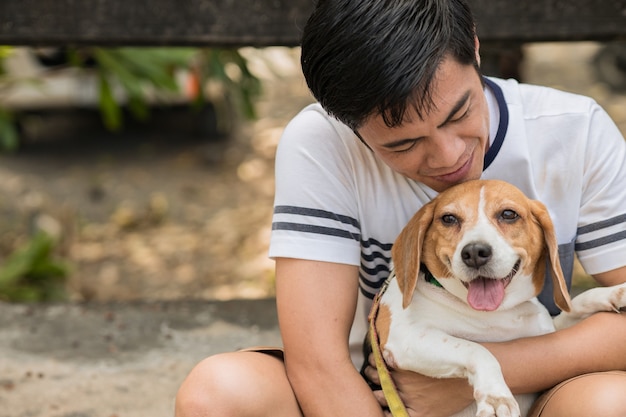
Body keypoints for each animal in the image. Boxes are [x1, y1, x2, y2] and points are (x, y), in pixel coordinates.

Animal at [372, 179, 620, 416]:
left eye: (508, 214)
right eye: (449, 218)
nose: (474, 252)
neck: (498, 313)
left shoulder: (547, 330)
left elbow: (575, 305)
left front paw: (614, 293)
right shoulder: (405, 336)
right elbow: (478, 349)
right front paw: (496, 396)